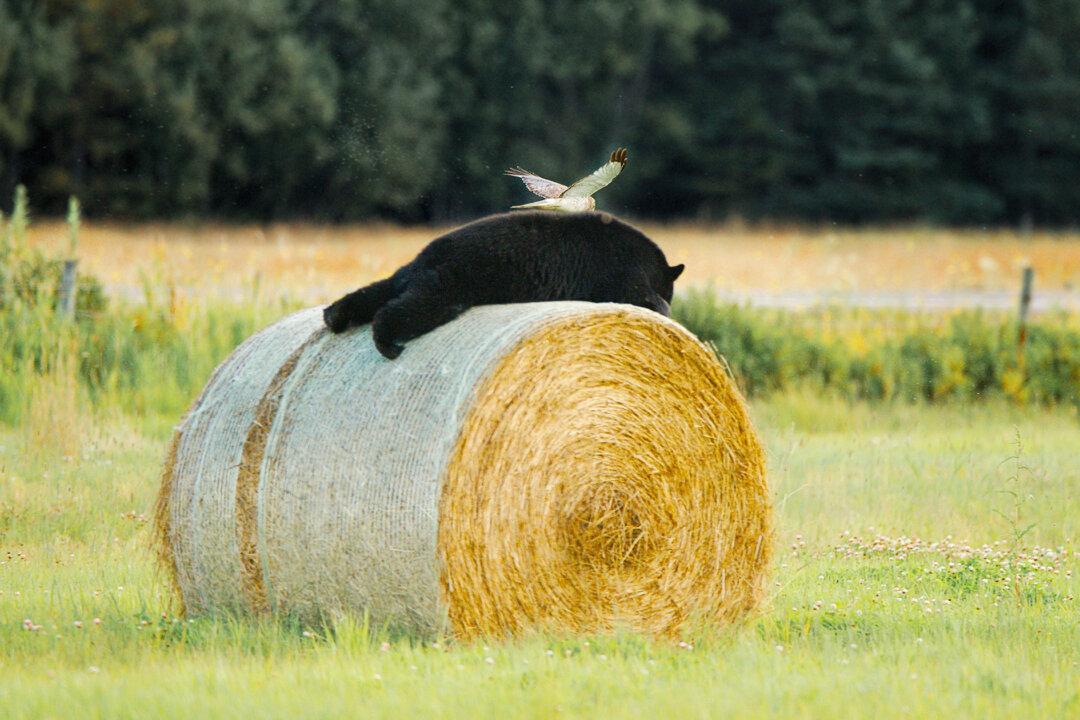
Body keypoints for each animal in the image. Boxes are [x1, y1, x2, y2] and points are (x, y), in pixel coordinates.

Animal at [323, 210, 685, 359]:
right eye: (671, 291)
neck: (651, 262)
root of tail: (421, 259)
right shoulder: (620, 269)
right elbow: (640, 297)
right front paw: (664, 311)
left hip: (413, 276)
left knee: (373, 292)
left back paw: (333, 316)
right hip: (453, 281)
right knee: (412, 308)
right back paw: (388, 343)